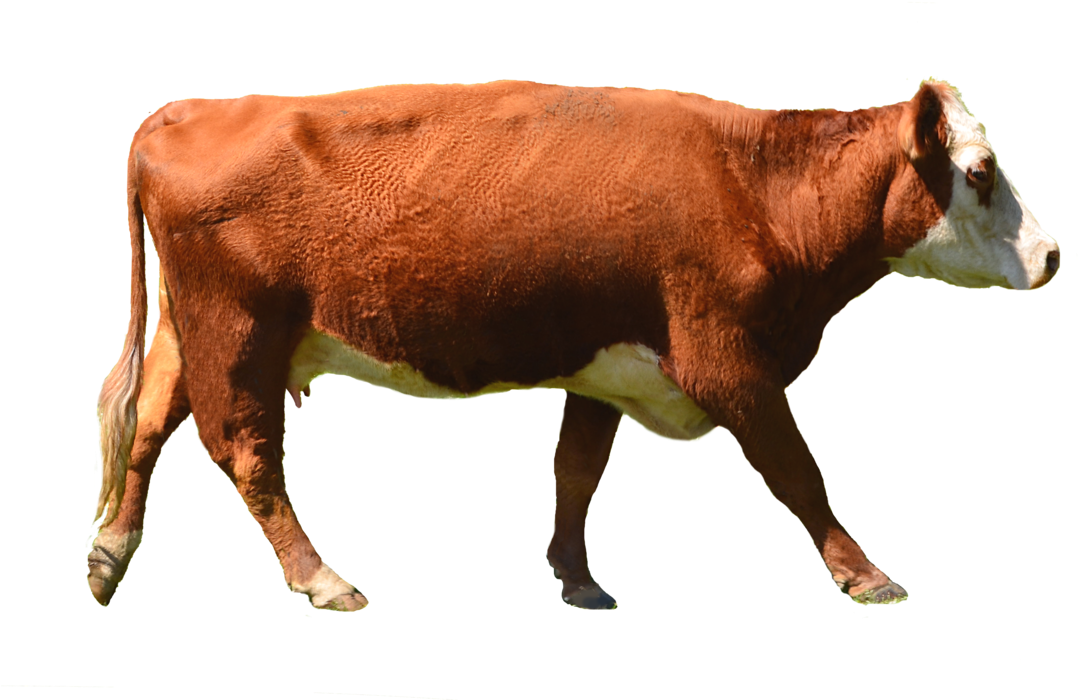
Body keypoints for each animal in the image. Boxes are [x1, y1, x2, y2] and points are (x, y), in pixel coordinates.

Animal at [89, 79, 1059, 611]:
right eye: (978, 172)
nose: (1052, 255)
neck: (757, 188)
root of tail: (189, 109)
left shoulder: (606, 370)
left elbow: (576, 471)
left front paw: (576, 580)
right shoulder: (727, 362)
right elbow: (797, 472)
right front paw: (866, 576)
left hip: (190, 329)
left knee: (147, 426)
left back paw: (111, 556)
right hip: (239, 331)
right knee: (247, 453)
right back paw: (322, 579)